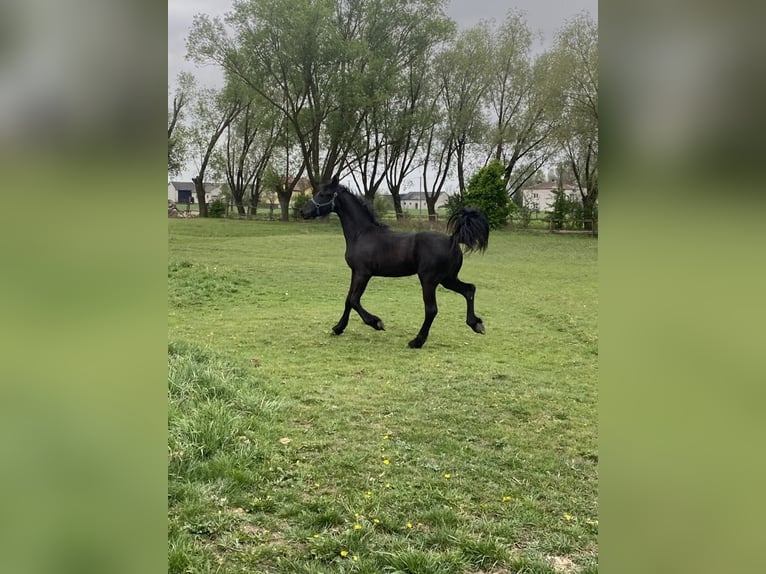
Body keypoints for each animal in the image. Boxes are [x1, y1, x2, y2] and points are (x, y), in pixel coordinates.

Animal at [300, 176, 490, 348]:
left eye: (323, 194)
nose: (303, 211)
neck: (362, 234)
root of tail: (453, 239)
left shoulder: (363, 273)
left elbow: (354, 300)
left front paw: (376, 323)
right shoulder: (355, 273)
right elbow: (348, 300)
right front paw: (338, 328)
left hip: (429, 280)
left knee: (432, 309)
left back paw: (416, 341)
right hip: (447, 279)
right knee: (469, 290)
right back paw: (476, 324)